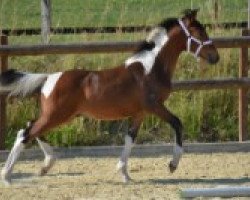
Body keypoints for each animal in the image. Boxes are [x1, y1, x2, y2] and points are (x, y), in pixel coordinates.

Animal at [0, 9, 219, 184]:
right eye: (199, 32)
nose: (215, 57)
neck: (150, 69)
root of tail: (48, 78)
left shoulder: (139, 113)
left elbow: (130, 139)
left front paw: (125, 175)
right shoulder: (154, 106)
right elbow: (177, 123)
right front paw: (172, 164)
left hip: (59, 115)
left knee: (30, 127)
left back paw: (45, 165)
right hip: (56, 115)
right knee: (24, 134)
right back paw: (8, 176)